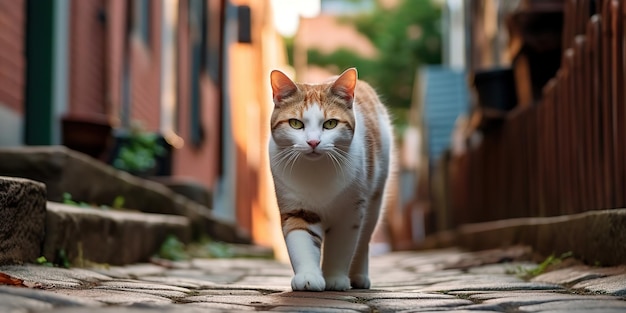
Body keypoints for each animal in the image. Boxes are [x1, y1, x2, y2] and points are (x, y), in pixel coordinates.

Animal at [266, 66, 390, 290]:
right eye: (295, 123)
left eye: (330, 124)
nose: (313, 142)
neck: (317, 172)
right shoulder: (297, 208)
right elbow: (302, 242)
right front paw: (308, 276)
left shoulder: (350, 214)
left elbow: (341, 248)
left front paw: (335, 278)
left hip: (375, 200)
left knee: (364, 240)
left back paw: (359, 276)